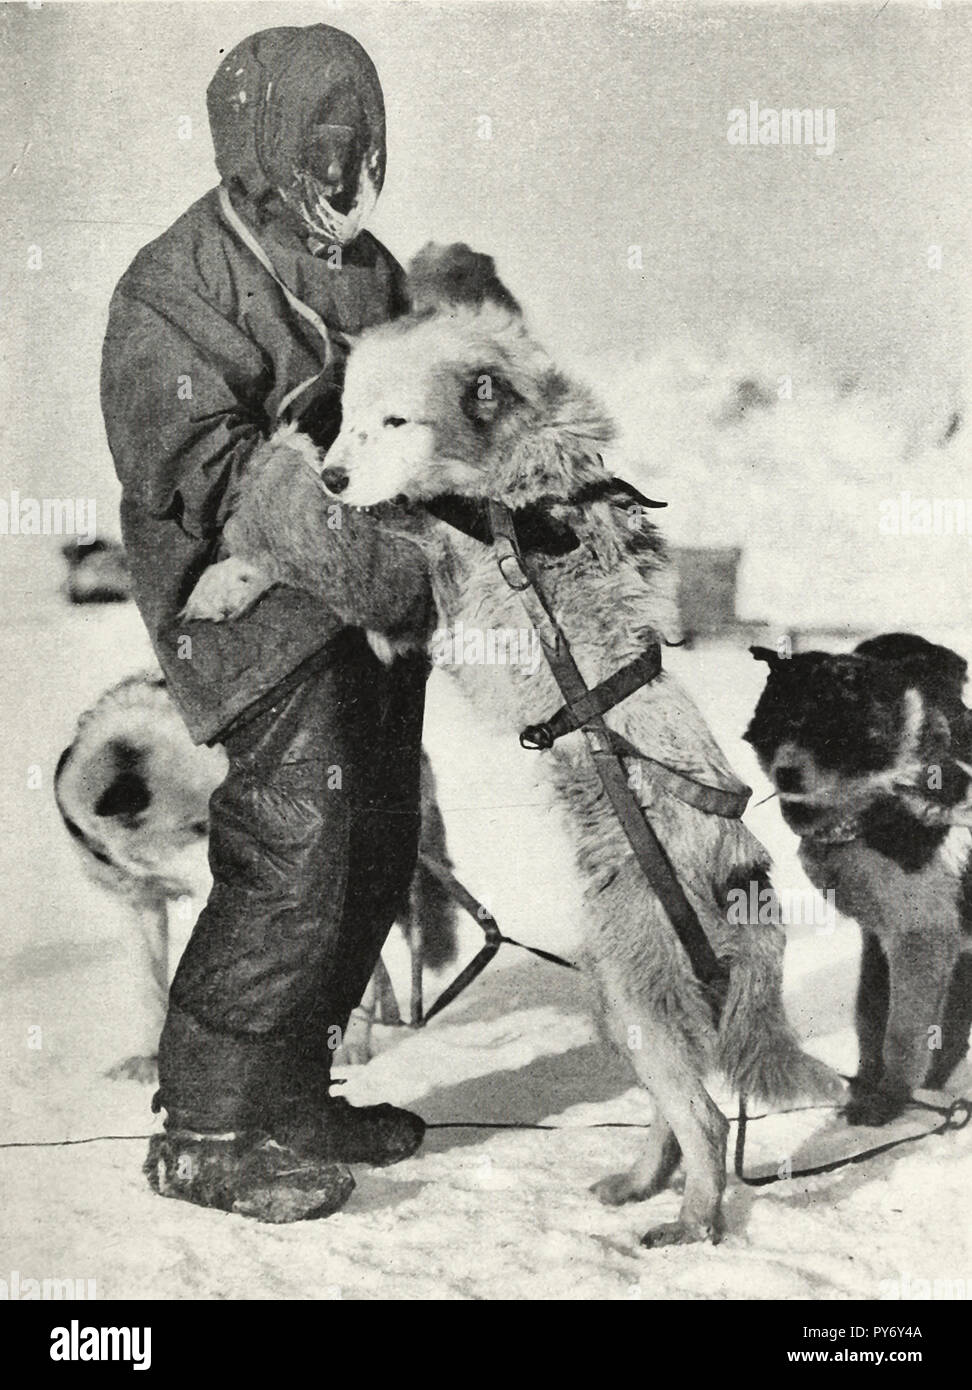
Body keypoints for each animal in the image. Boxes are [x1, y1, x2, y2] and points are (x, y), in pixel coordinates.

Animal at [184, 239, 845, 1251]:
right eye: (351, 416)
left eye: (395, 418)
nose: (333, 475)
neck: (509, 484)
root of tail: (744, 875)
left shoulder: (431, 555)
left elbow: (358, 539)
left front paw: (231, 573)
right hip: (619, 997)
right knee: (676, 1108)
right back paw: (640, 1184)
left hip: (639, 993)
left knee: (698, 1117)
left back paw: (691, 1224)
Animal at [750, 636, 967, 1123]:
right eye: (779, 721)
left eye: (821, 724)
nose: (786, 773)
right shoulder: (879, 937)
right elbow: (871, 1018)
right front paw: (873, 1088)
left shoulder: (922, 939)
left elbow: (902, 1034)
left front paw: (888, 1101)